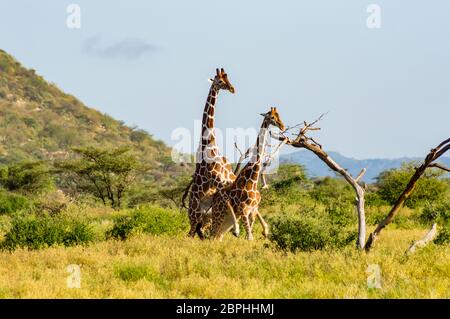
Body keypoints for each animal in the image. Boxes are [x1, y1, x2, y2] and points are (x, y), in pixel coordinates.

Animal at [186, 68, 237, 240]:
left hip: (205, 218)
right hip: (194, 216)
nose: (233, 89)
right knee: (191, 234)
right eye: (220, 81)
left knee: (201, 233)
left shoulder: (227, 180)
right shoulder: (219, 182)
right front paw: (236, 229)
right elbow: (228, 200)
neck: (209, 142)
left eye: (228, 79)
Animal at [208, 106, 284, 241]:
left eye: (279, 115)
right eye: (272, 117)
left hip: (227, 221)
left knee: (218, 237)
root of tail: (214, 199)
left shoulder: (252, 211)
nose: (282, 126)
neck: (252, 181)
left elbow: (250, 235)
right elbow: (249, 237)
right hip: (218, 215)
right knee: (212, 235)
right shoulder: (243, 211)